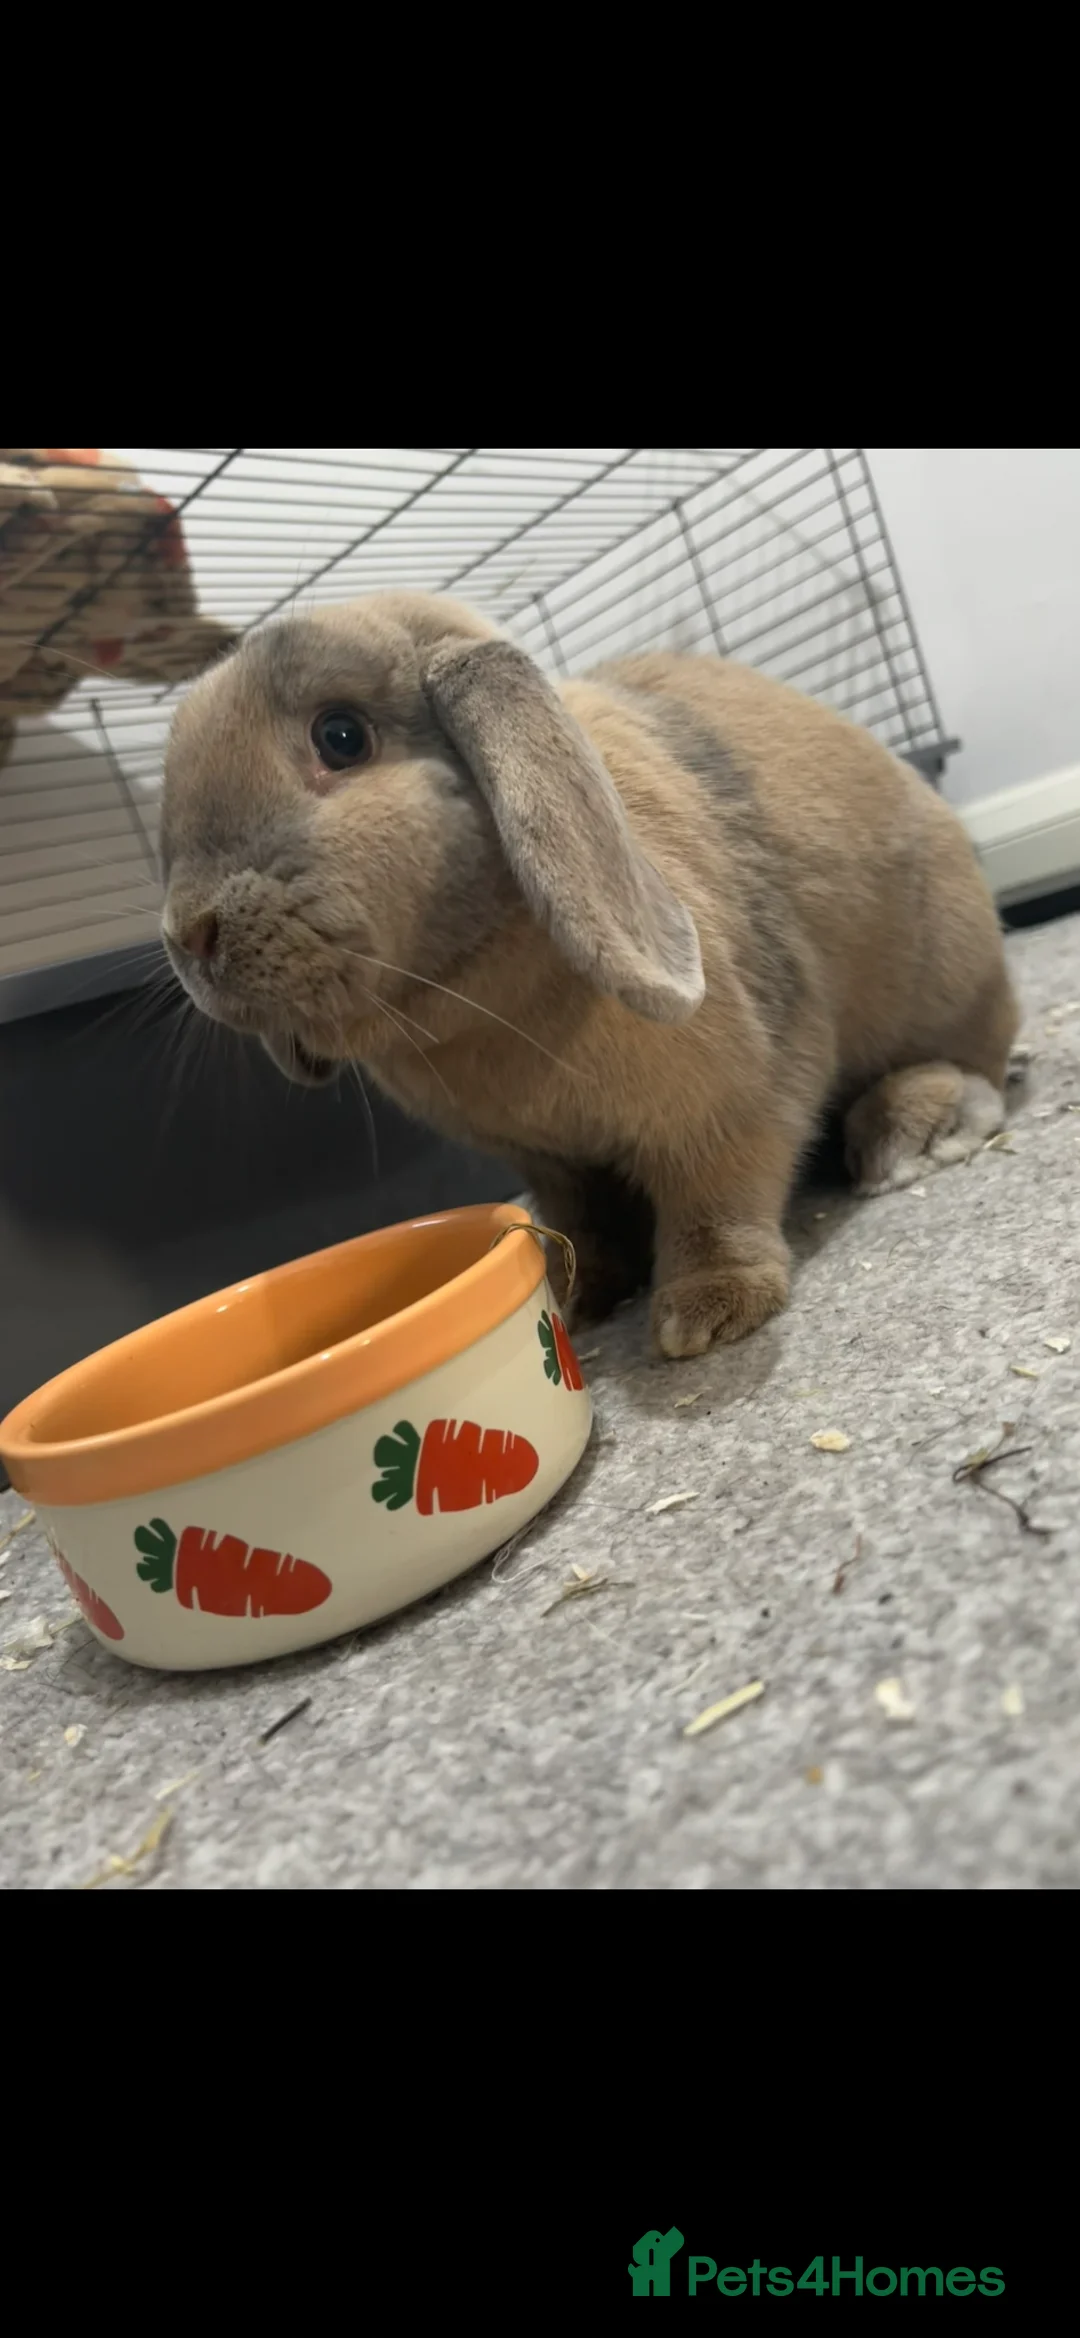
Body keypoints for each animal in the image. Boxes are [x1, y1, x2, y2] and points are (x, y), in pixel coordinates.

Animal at [160, 591, 1018, 1358]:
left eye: (340, 736)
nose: (186, 934)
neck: (473, 997)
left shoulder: (733, 1104)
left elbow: (719, 1198)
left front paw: (703, 1315)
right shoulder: (548, 1161)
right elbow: (580, 1222)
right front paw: (573, 1299)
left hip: (950, 977)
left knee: (976, 1066)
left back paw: (912, 1133)